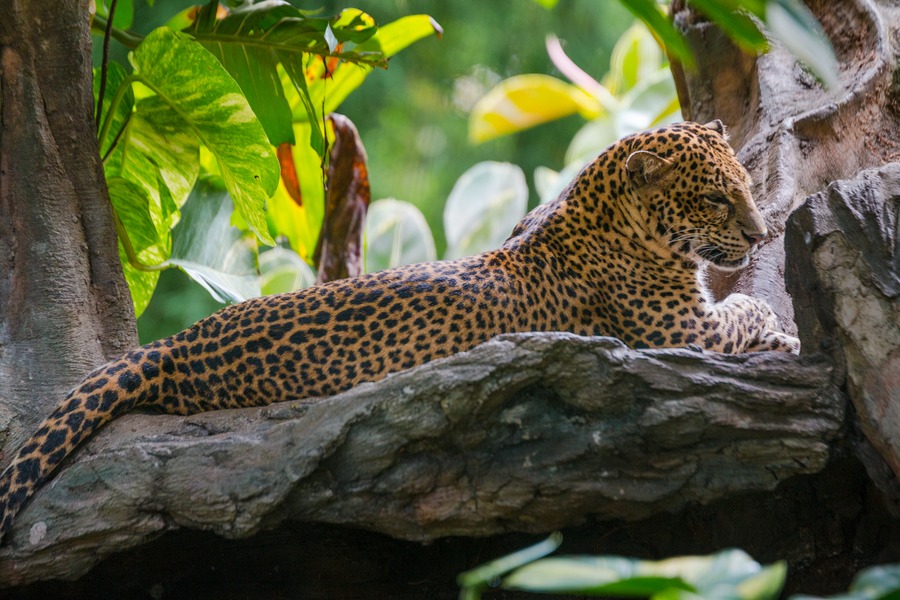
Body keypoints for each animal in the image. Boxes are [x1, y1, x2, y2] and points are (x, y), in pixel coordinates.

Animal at [0, 120, 800, 542]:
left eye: (745, 187)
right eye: (716, 199)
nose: (761, 235)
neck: (606, 212)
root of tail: (173, 344)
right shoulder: (680, 331)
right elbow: (748, 312)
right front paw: (785, 332)